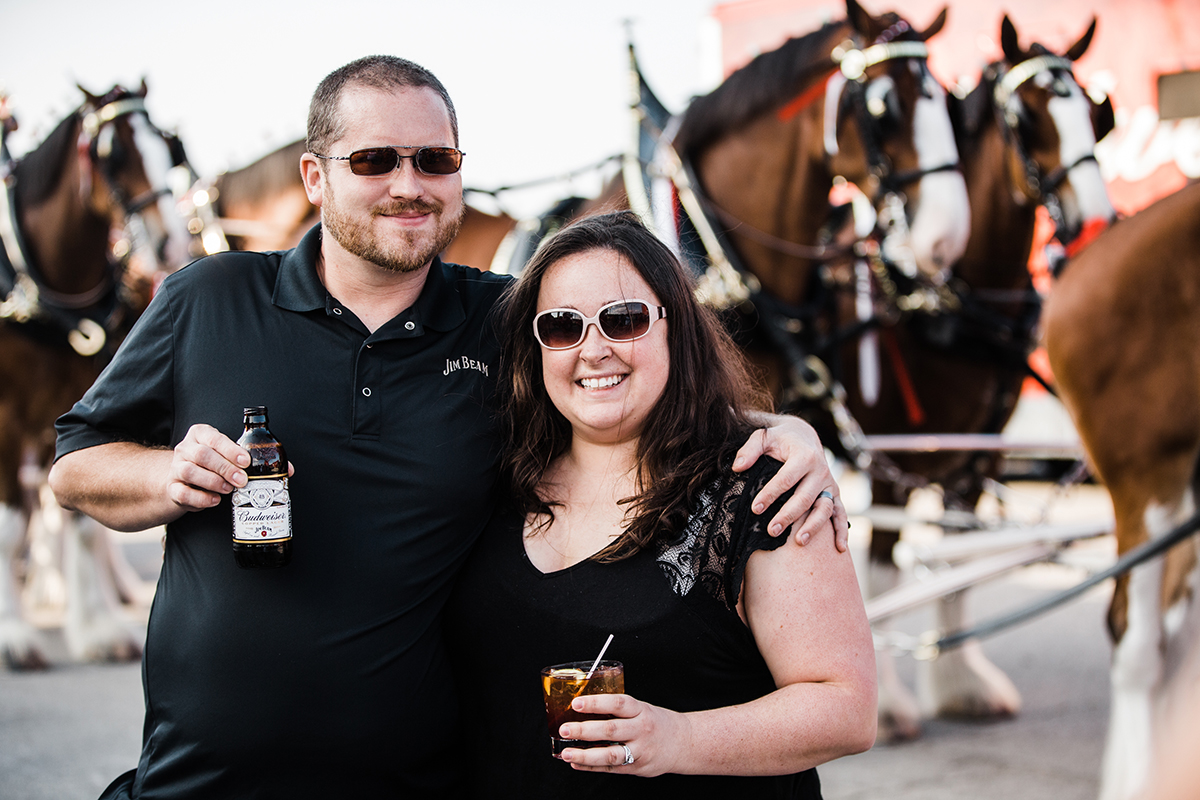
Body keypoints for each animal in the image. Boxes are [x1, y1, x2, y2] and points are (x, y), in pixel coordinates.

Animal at [0, 82, 194, 671]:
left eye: (167, 148)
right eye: (112, 154)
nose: (172, 243)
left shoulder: (62, 399)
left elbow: (80, 522)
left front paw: (96, 628)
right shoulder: (8, 416)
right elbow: (12, 522)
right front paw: (14, 634)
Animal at [830, 17, 1118, 743]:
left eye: (1095, 114)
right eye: (1026, 118)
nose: (1097, 225)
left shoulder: (974, 453)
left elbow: (958, 565)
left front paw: (962, 684)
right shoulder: (887, 454)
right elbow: (883, 569)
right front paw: (889, 704)